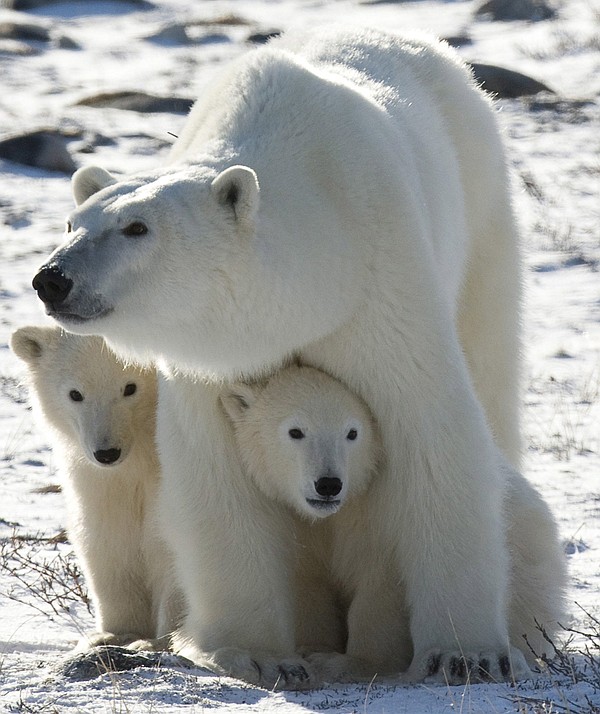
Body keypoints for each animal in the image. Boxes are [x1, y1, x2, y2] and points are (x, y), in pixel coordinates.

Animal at [10, 326, 179, 648]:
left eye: (130, 387)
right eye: (75, 394)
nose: (107, 453)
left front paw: (159, 641)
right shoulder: (98, 479)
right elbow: (107, 536)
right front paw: (114, 633)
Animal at [32, 25, 568, 688]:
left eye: (137, 228)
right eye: (71, 221)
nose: (52, 279)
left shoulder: (380, 286)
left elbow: (434, 430)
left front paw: (464, 654)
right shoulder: (213, 363)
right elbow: (213, 472)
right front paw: (257, 653)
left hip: (480, 209)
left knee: (490, 362)